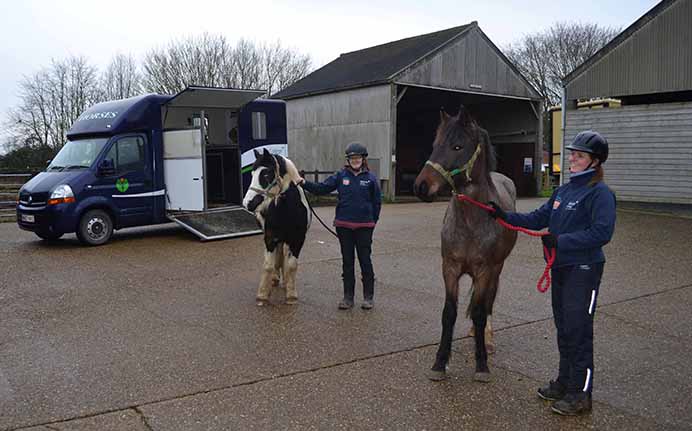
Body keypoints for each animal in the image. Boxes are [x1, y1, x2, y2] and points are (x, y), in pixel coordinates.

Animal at [242, 148, 310, 308]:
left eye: (266, 174)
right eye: (252, 174)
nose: (248, 203)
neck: (287, 209)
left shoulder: (298, 239)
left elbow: (292, 265)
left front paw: (291, 295)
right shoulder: (270, 238)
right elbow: (268, 265)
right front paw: (262, 295)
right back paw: (274, 279)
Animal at [414, 106, 516, 384]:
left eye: (458, 146)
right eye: (435, 145)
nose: (421, 186)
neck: (471, 222)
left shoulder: (485, 271)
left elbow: (480, 312)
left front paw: (482, 365)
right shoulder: (449, 268)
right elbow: (449, 313)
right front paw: (439, 363)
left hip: (497, 269)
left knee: (488, 303)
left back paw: (487, 340)